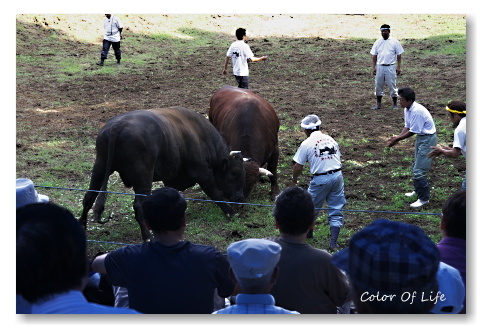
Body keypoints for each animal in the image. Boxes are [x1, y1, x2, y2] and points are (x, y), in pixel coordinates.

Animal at [79, 107, 244, 241]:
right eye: (235, 172)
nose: (240, 198)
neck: (198, 134)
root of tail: (118, 125)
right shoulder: (203, 173)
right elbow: (215, 193)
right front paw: (230, 213)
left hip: (100, 168)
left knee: (89, 197)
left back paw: (82, 228)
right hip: (143, 177)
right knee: (138, 205)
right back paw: (147, 236)